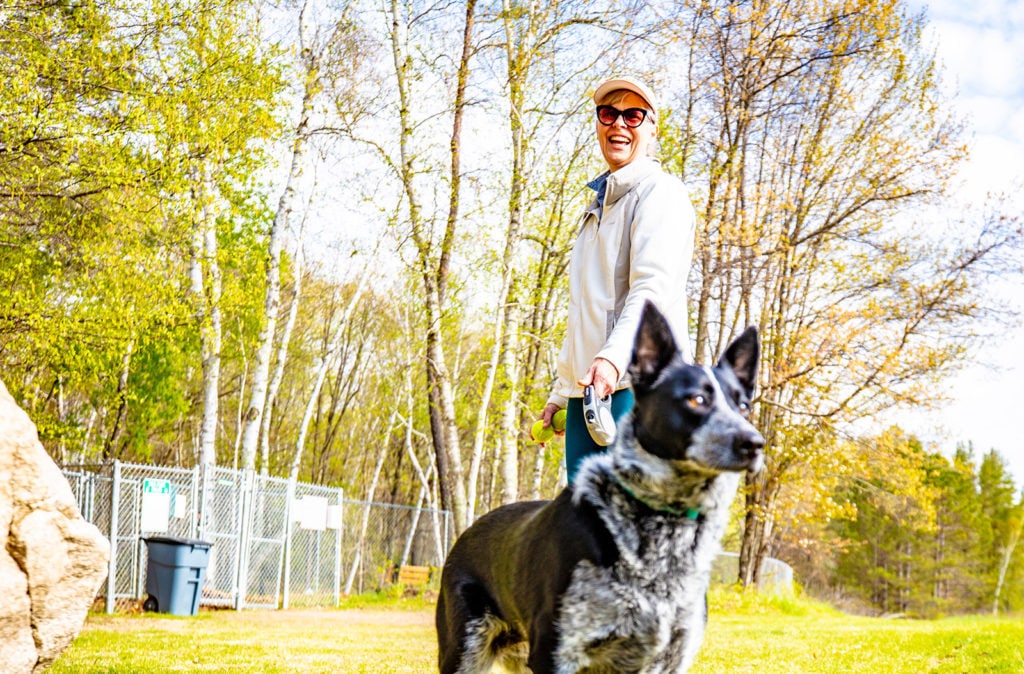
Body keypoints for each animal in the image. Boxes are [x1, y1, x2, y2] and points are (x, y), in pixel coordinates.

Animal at [436, 301, 765, 671]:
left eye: (743, 406)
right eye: (696, 399)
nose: (754, 443)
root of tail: (465, 534)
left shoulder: (671, 657)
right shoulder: (555, 651)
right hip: (464, 649)